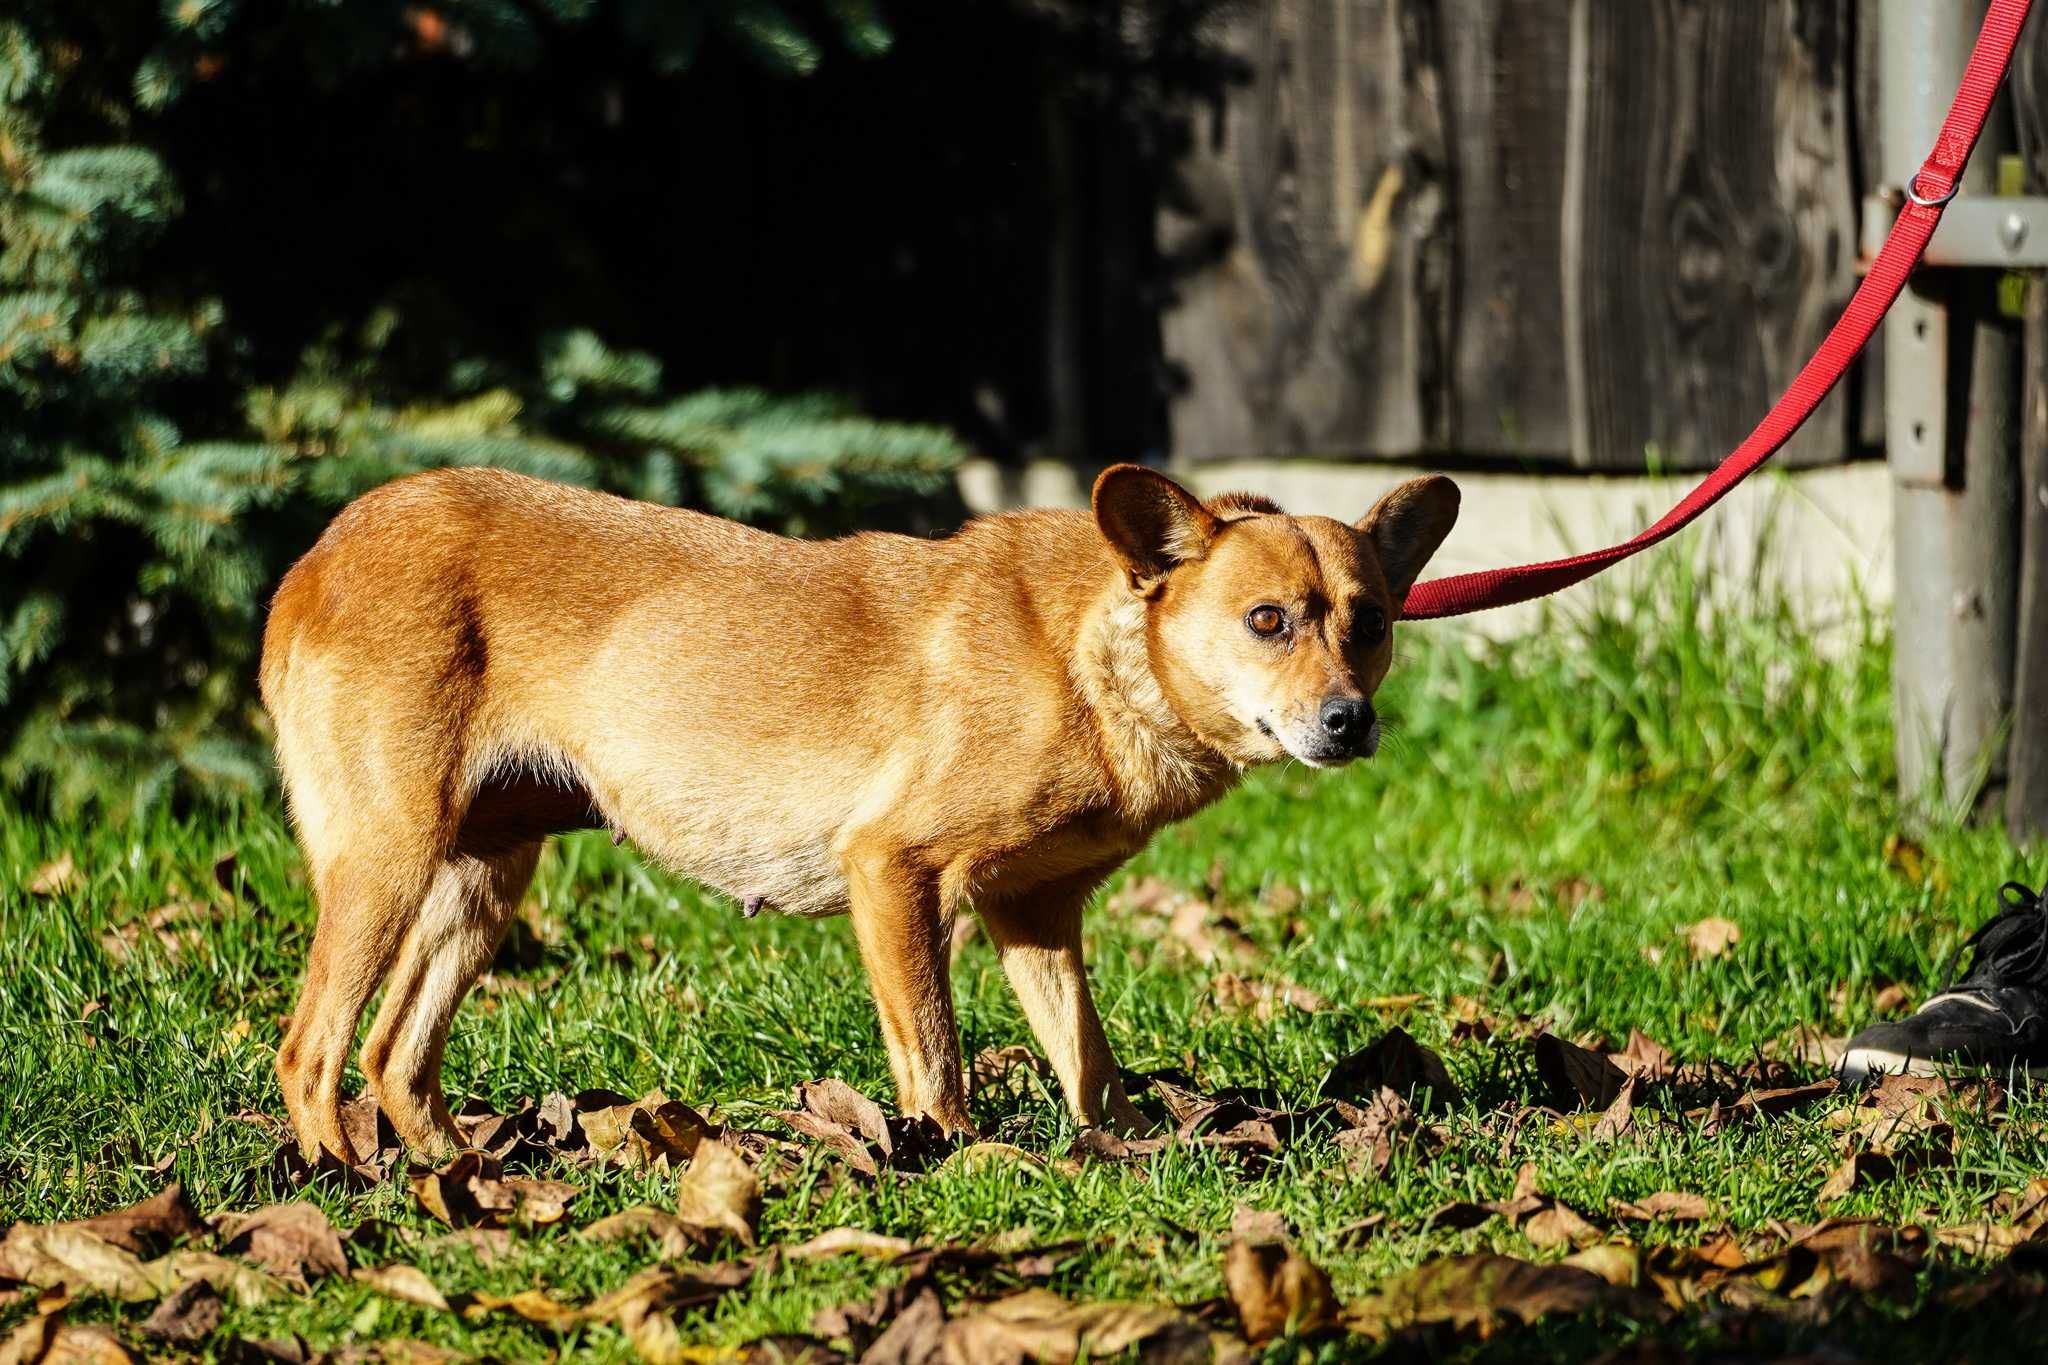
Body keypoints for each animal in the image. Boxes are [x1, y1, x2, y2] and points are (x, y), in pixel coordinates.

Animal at [260, 464, 1458, 1162]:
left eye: (1371, 623)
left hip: (480, 881)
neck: (1090, 654)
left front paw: (1121, 1154)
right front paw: (960, 1160)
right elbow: (934, 1056)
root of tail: (316, 555)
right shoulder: (894, 871)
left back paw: (451, 1179)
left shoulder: (1035, 917)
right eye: (1267, 621)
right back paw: (348, 1182)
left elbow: (1089, 1062)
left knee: (392, 1056)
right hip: (386, 862)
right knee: (312, 1053)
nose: (1349, 722)